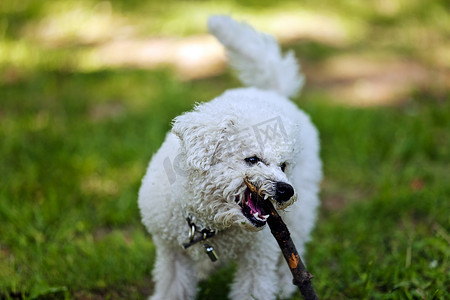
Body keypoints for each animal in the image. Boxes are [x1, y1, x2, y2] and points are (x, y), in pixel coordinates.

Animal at [139, 16, 322, 300]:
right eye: (252, 159)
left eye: (283, 166)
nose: (285, 190)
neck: (208, 223)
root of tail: (274, 93)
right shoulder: (172, 254)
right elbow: (173, 287)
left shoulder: (258, 257)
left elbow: (254, 289)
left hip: (301, 214)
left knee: (295, 249)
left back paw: (285, 285)